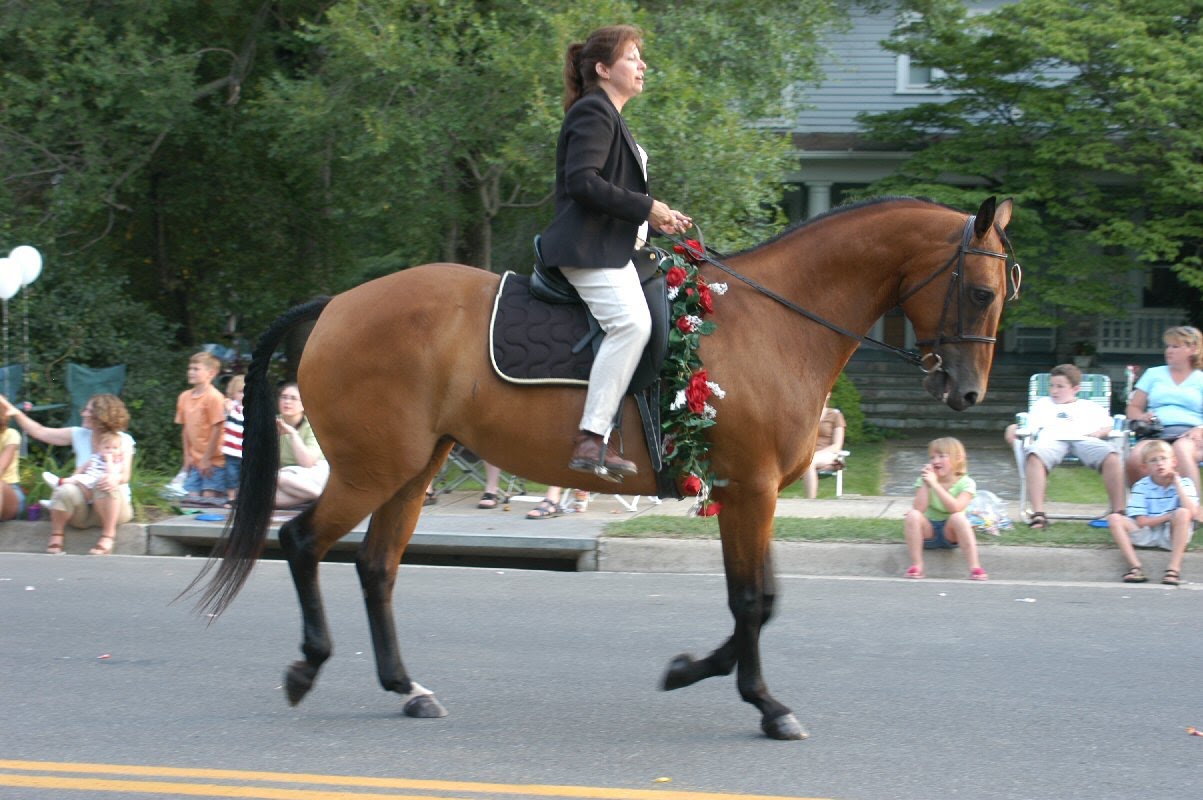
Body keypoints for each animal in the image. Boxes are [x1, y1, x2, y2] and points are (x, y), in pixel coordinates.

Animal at [190, 195, 1015, 741]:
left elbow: (760, 601)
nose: (966, 394)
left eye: (1001, 293)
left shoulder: (741, 495)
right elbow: (752, 603)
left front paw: (690, 670)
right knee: (303, 543)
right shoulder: (747, 490)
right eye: (978, 291)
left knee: (376, 566)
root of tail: (336, 305)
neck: (775, 322)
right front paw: (764, 703)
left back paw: (406, 688)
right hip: (373, 466)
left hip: (413, 467)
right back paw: (308, 667)